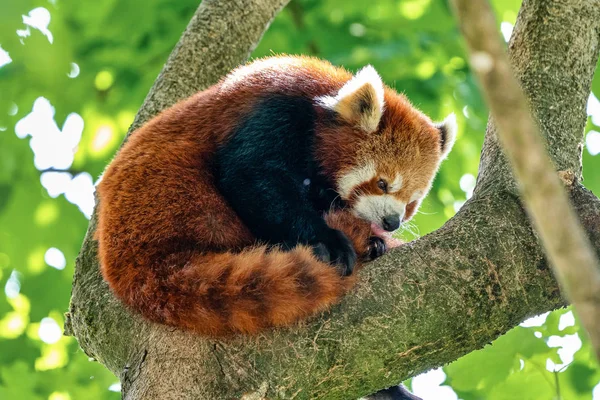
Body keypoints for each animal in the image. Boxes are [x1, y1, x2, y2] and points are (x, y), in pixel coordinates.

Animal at [97, 54, 454, 336]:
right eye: (382, 184)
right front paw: (329, 241)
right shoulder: (271, 110)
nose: (392, 222)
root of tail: (121, 266)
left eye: (411, 203)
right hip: (167, 194)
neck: (317, 102)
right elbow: (250, 178)